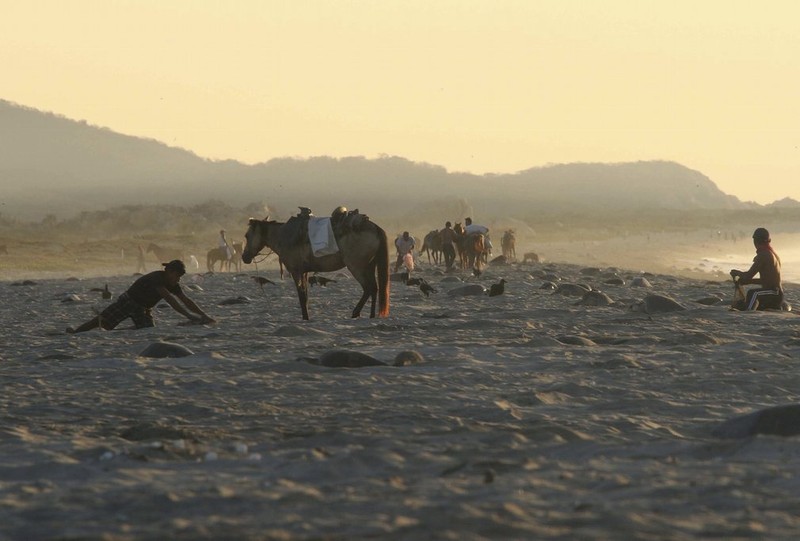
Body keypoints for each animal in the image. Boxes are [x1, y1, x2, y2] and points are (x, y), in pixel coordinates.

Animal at [242, 213, 392, 318]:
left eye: (246, 235)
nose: (245, 257)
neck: (283, 236)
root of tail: (374, 228)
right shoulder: (304, 272)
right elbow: (306, 297)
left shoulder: (296, 272)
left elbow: (301, 296)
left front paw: (305, 317)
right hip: (369, 266)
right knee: (374, 288)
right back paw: (371, 315)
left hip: (357, 267)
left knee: (368, 288)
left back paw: (356, 312)